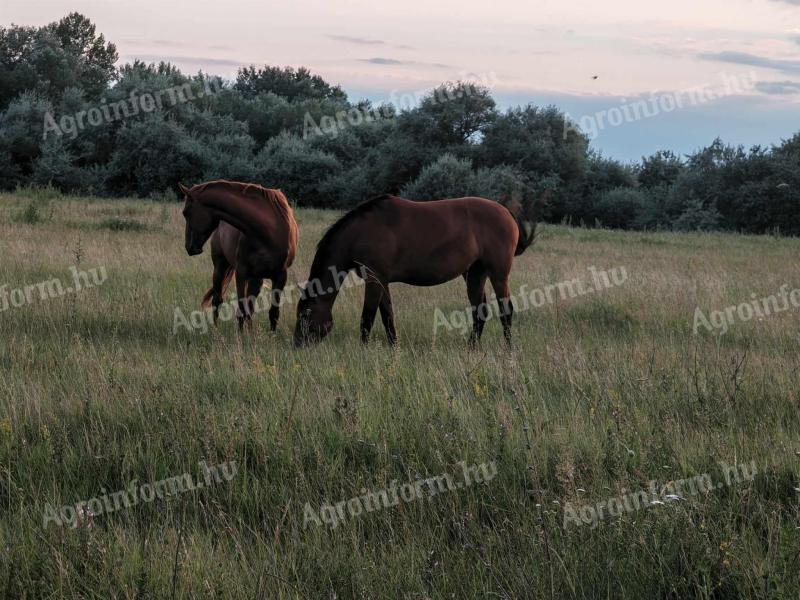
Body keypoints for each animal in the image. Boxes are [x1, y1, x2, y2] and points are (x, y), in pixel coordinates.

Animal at [180, 180, 298, 332]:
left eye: (185, 212)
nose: (189, 247)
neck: (269, 231)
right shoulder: (241, 273)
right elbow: (241, 309)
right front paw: (242, 336)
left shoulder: (281, 276)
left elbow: (273, 313)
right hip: (220, 268)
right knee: (217, 300)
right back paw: (216, 330)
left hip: (256, 279)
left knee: (250, 307)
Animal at [290, 196, 536, 346]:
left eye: (305, 314)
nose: (297, 344)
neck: (361, 232)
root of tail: (506, 213)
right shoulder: (382, 281)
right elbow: (387, 316)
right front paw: (394, 347)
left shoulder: (374, 279)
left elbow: (367, 318)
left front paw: (364, 349)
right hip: (475, 274)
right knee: (480, 310)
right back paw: (472, 347)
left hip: (498, 274)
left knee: (506, 310)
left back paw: (508, 349)